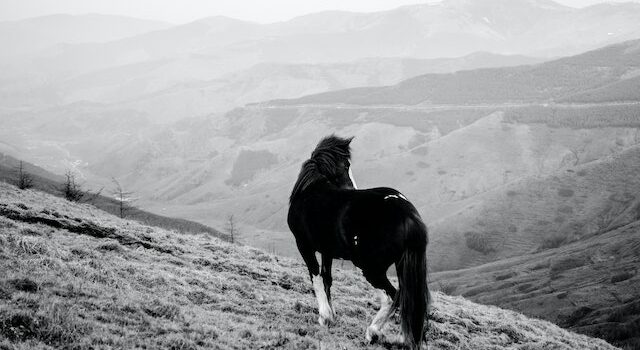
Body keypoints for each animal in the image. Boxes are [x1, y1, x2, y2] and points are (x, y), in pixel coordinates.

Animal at [288, 135, 430, 350]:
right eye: (346, 165)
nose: (351, 188)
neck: (312, 190)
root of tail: (406, 212)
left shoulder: (304, 245)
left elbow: (316, 278)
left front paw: (325, 317)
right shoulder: (327, 251)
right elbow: (327, 279)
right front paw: (332, 316)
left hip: (371, 269)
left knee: (393, 296)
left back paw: (373, 333)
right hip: (401, 264)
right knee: (408, 300)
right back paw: (402, 338)